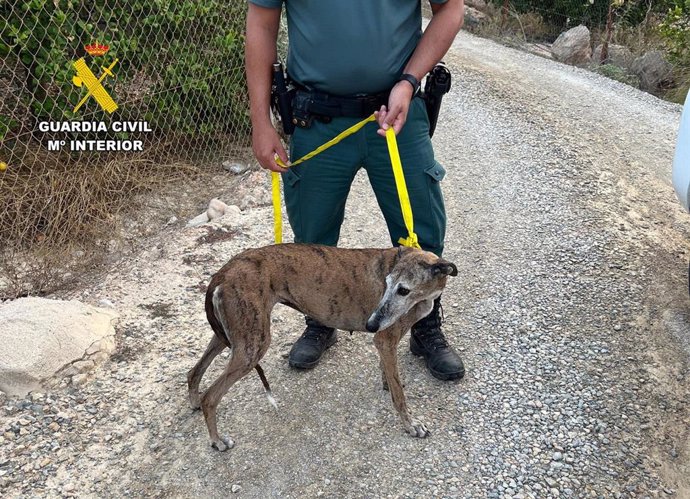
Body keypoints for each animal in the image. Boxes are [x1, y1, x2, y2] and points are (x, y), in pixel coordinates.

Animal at [188, 244, 456, 452]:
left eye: (403, 289)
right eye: (387, 283)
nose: (370, 325)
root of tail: (222, 273)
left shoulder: (386, 341)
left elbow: (389, 375)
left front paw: (386, 384)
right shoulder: (385, 339)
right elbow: (399, 396)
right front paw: (411, 425)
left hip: (232, 336)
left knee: (194, 371)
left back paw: (194, 401)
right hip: (253, 345)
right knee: (211, 396)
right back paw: (217, 440)